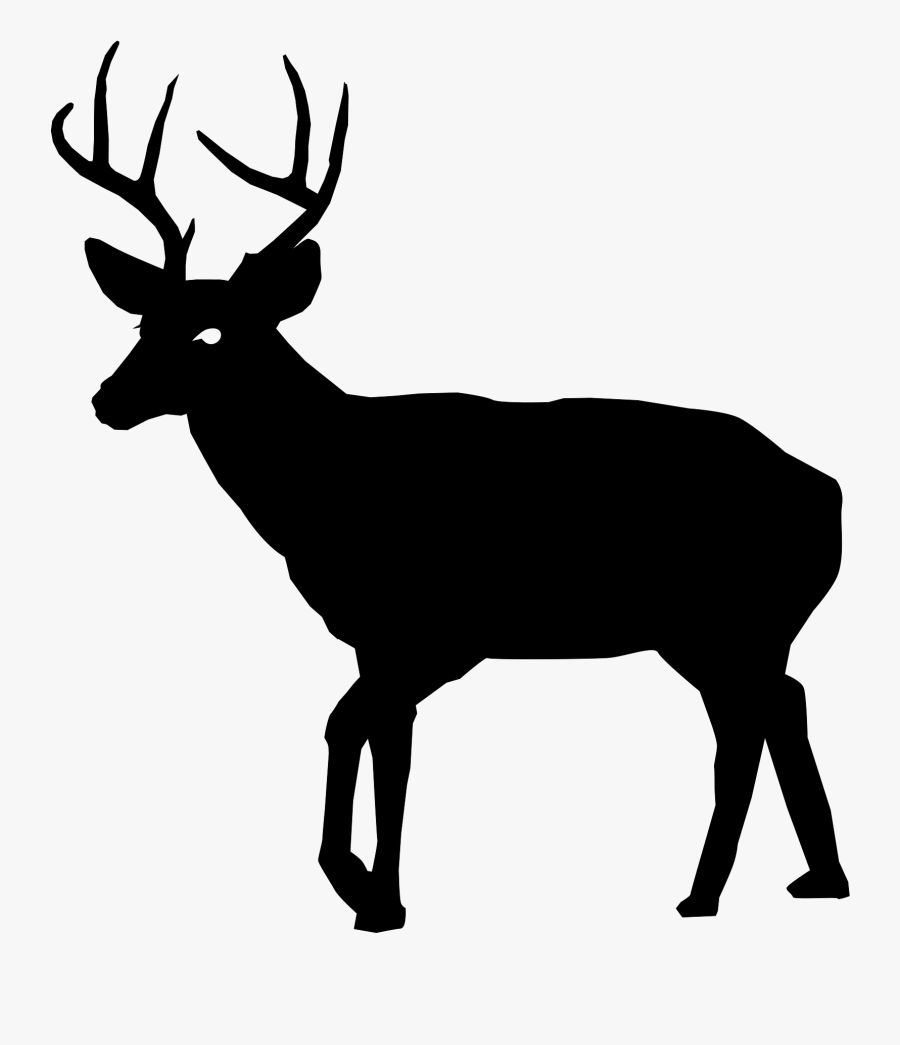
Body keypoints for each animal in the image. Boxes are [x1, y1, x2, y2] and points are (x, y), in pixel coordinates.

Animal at [53, 43, 850, 932]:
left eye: (215, 332)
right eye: (141, 322)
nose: (107, 399)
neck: (324, 486)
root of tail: (829, 491)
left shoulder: (429, 624)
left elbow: (385, 742)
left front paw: (378, 900)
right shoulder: (381, 636)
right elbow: (346, 726)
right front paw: (357, 880)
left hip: (734, 617)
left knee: (752, 720)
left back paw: (716, 891)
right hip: (722, 631)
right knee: (776, 706)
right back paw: (799, 880)